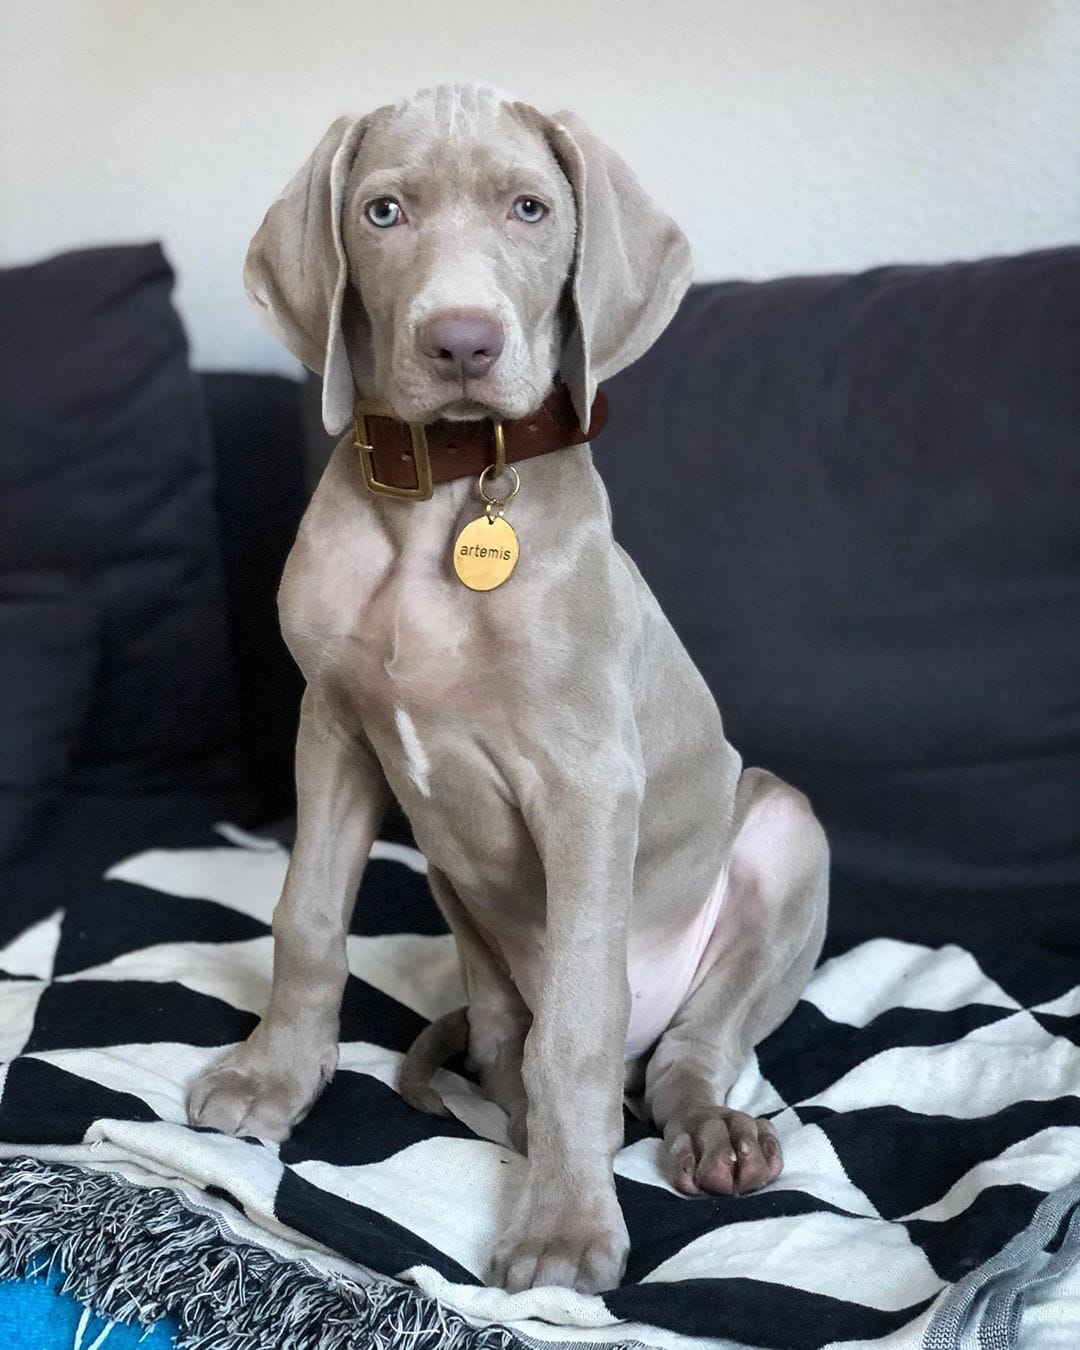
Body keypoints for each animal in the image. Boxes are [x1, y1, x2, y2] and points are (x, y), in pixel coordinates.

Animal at [187, 84, 829, 1295]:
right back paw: (527, 1122)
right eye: (383, 211)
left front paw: (566, 1229)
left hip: (783, 834)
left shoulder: (587, 782)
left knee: (681, 1053)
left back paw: (709, 1134)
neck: (444, 492)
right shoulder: (332, 728)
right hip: (460, 909)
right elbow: (307, 919)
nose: (461, 340)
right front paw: (273, 1078)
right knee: (505, 1048)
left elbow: (578, 1016)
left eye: (530, 208)